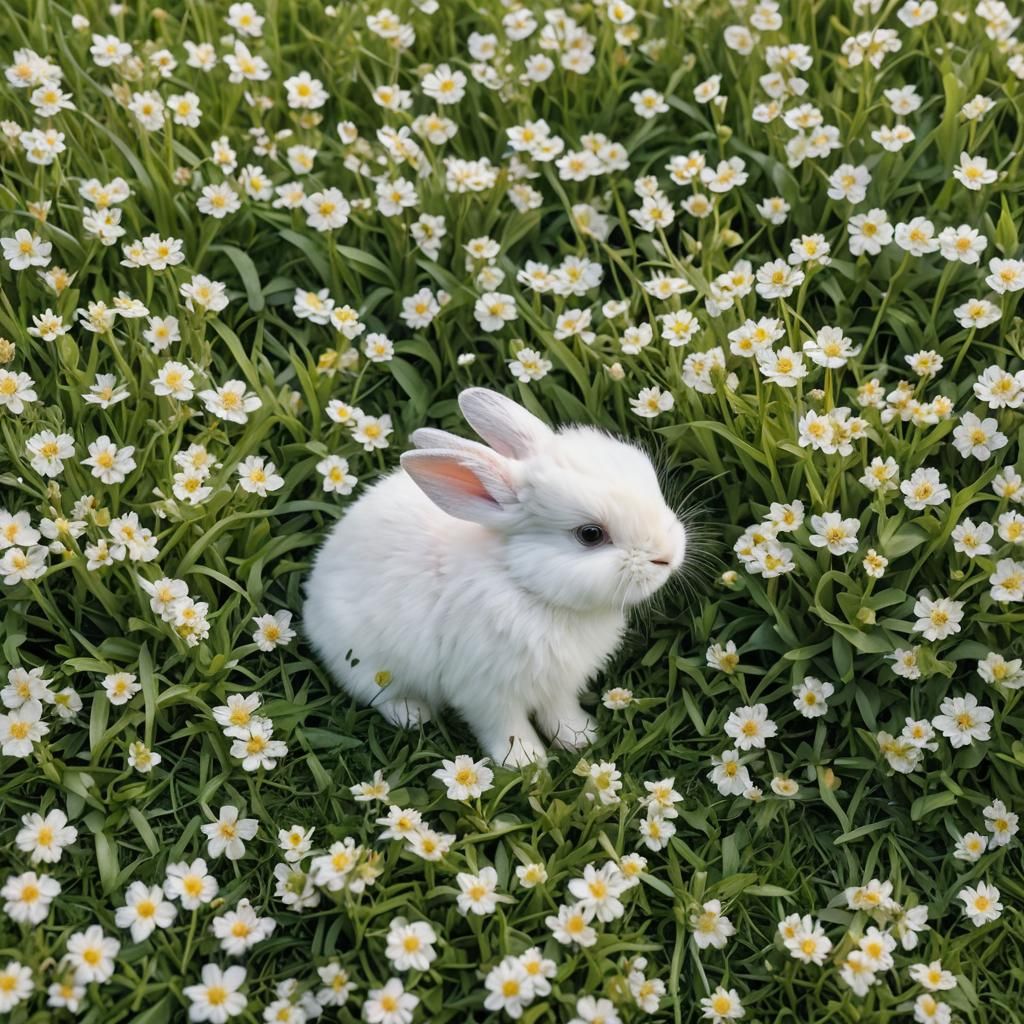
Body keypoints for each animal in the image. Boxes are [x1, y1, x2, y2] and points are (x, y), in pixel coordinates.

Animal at [302, 387, 686, 767]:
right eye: (590, 534)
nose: (668, 556)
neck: (523, 584)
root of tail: (313, 596)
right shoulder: (486, 691)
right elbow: (506, 726)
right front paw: (525, 762)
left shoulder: (558, 684)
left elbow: (559, 711)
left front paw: (579, 737)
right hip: (367, 663)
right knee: (378, 692)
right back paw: (413, 715)